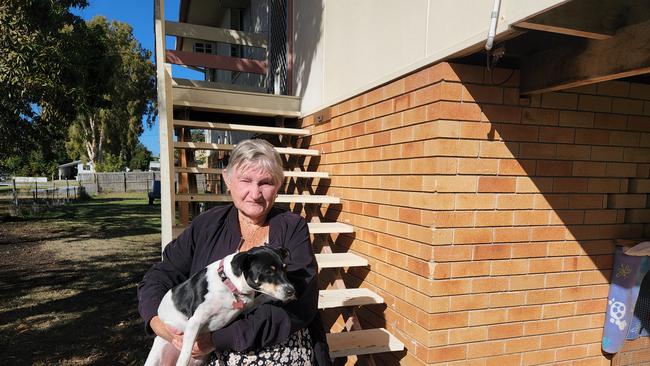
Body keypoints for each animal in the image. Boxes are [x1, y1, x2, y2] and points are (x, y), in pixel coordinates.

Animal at [144, 246, 296, 366]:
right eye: (269, 272)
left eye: (285, 269)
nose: (292, 291)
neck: (229, 284)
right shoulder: (194, 322)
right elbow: (185, 354)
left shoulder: (247, 307)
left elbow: (261, 298)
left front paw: (275, 298)